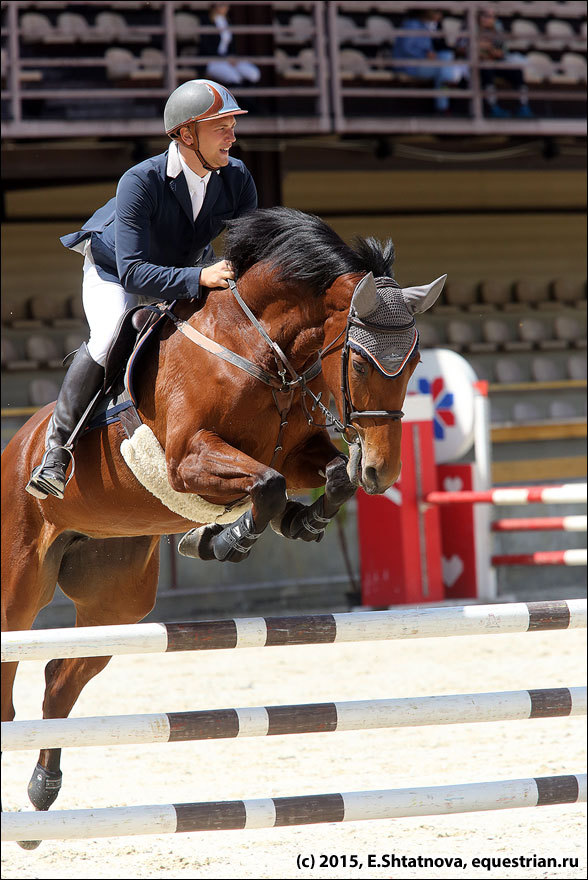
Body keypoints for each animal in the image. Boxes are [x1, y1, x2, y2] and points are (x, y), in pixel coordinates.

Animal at [0, 205, 446, 840]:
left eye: (414, 364)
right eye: (360, 361)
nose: (382, 473)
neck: (261, 349)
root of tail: (17, 448)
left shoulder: (294, 451)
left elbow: (324, 478)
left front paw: (281, 526)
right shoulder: (189, 458)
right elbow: (266, 484)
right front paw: (230, 538)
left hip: (117, 600)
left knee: (61, 682)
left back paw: (43, 788)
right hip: (19, 588)